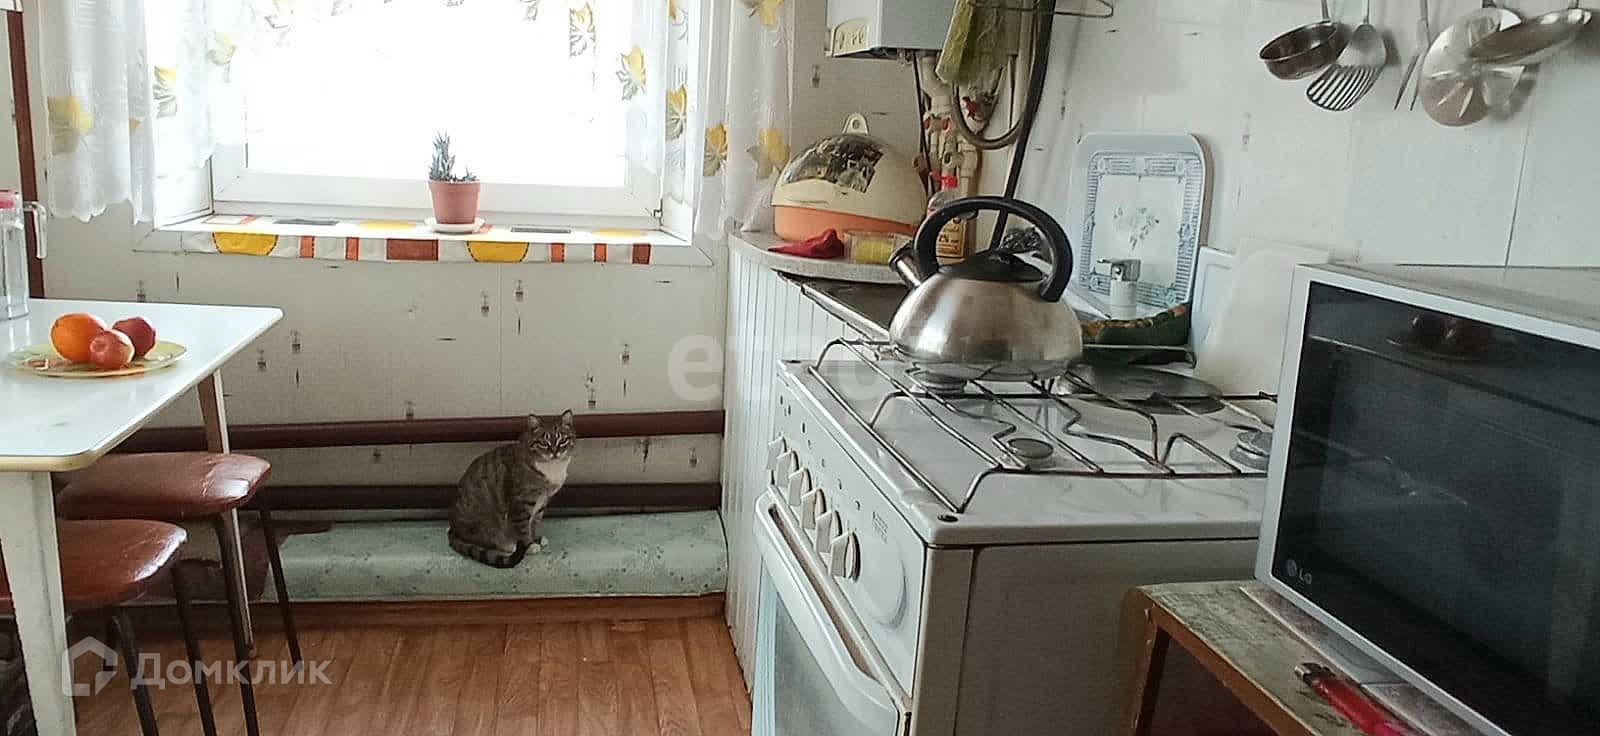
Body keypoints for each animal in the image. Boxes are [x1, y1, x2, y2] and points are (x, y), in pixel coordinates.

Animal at [447, 411, 576, 569]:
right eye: (544, 443)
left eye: (562, 441)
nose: (555, 452)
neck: (551, 468)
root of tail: (453, 529)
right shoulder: (521, 502)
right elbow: (523, 527)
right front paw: (530, 545)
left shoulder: (542, 501)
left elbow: (534, 522)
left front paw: (536, 538)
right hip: (483, 524)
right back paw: (510, 545)